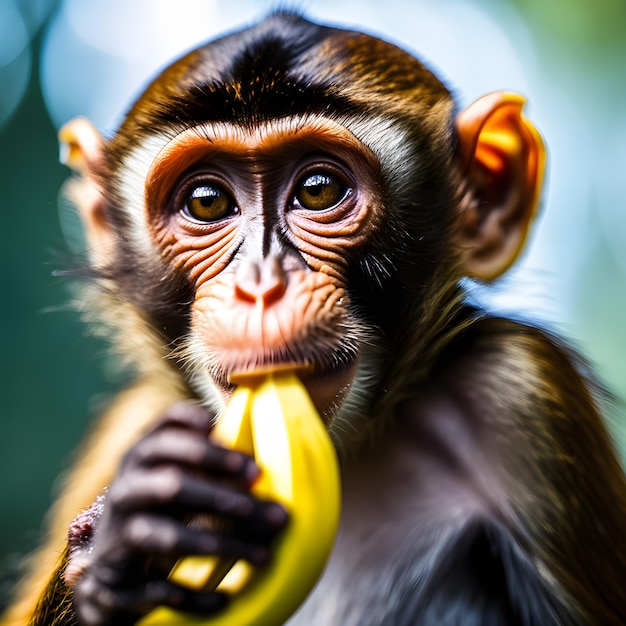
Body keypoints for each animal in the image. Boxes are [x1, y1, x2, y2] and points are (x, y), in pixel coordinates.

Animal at [4, 9, 624, 624]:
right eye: (206, 201)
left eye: (318, 190)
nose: (261, 285)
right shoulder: (133, 420)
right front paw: (124, 543)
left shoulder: (520, 389)